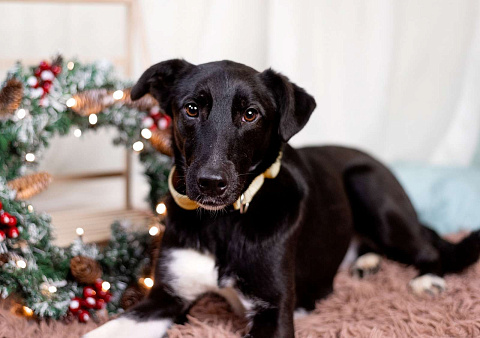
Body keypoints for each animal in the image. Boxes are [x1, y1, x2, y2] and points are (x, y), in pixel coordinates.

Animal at [86, 60, 480, 338]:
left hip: (369, 188)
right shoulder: (165, 297)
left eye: (250, 114)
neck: (223, 223)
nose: (210, 183)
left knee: (430, 250)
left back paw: (426, 279)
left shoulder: (273, 310)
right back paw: (366, 263)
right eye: (192, 109)